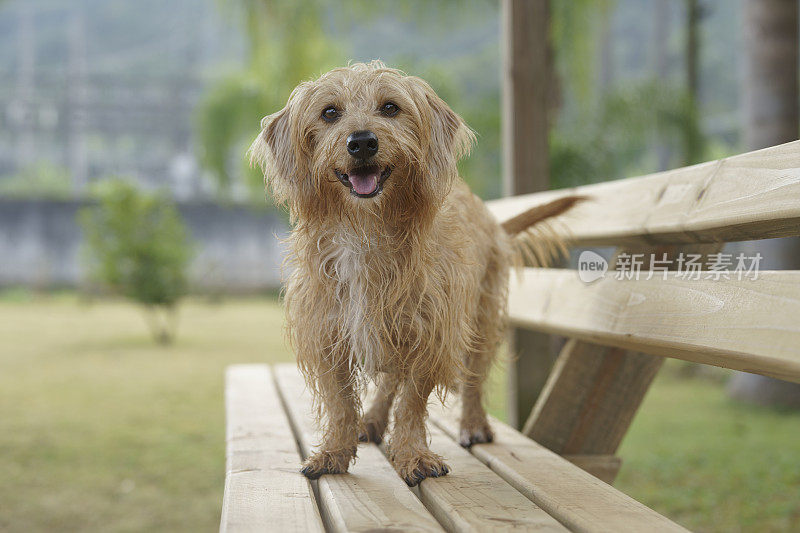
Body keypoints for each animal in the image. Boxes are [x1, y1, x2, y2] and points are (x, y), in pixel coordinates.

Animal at [248, 60, 576, 484]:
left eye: (390, 107)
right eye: (330, 112)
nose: (362, 142)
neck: (366, 232)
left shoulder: (431, 332)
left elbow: (412, 401)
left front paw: (412, 454)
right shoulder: (328, 332)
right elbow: (340, 401)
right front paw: (335, 451)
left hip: (480, 320)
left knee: (472, 379)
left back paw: (472, 424)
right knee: (389, 379)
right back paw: (371, 420)